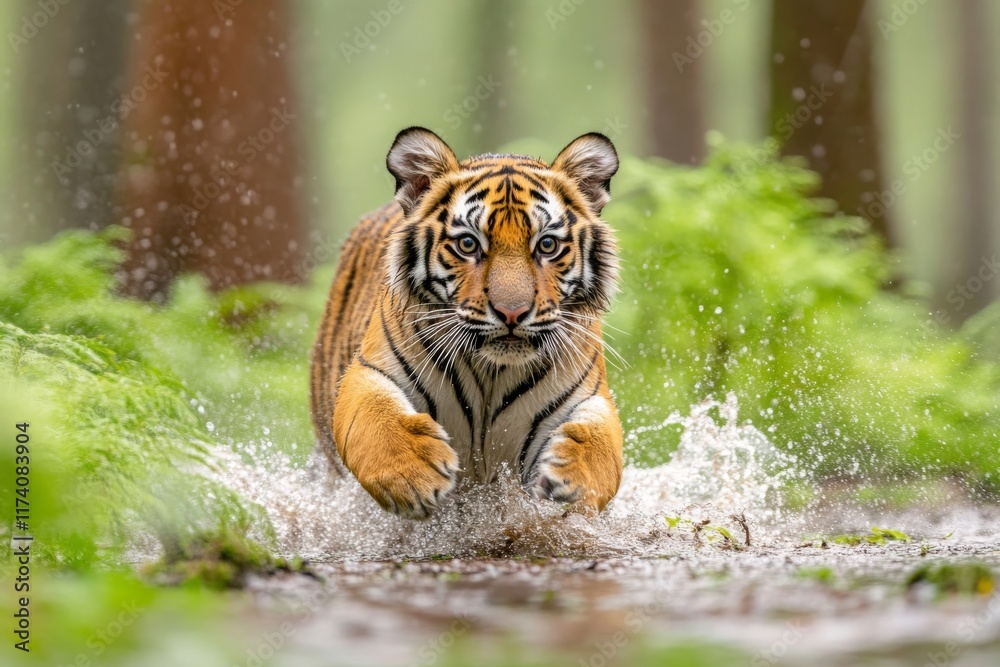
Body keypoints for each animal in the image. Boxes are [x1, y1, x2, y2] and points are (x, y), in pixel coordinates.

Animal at [309, 127, 623, 519]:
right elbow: (375, 419)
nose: (511, 313)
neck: (492, 372)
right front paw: (414, 475)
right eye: (468, 244)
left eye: (547, 245)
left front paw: (573, 485)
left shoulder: (589, 397)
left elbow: (602, 450)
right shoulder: (369, 371)